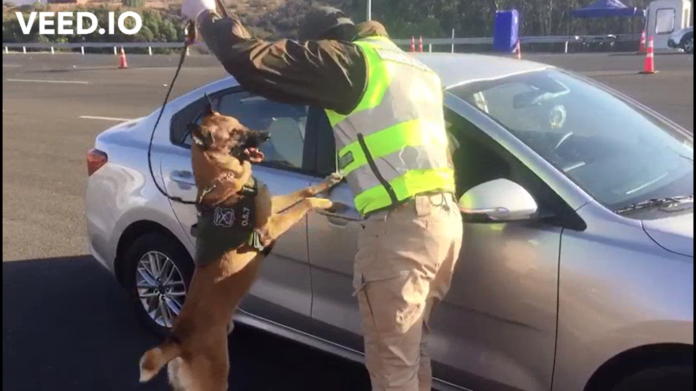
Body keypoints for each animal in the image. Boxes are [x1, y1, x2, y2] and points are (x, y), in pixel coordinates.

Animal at [137, 105, 340, 390]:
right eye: (234, 133)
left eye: (241, 124)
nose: (266, 134)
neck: (225, 183)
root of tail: (178, 341)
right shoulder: (268, 229)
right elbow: (305, 203)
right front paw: (327, 203)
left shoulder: (272, 205)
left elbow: (304, 191)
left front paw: (329, 181)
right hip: (216, 379)